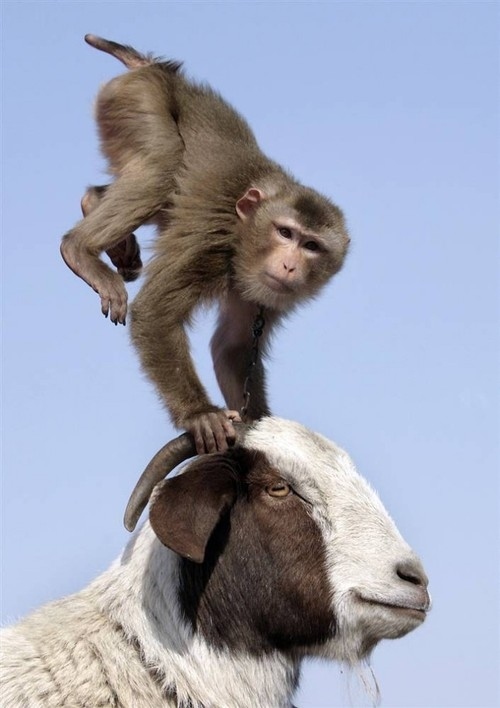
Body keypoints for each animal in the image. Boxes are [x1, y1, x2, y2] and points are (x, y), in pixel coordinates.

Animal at [60, 35, 350, 455]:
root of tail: (158, 70)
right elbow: (156, 312)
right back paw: (79, 250)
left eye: (311, 245)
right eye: (285, 233)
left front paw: (262, 428)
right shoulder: (209, 246)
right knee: (163, 164)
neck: (244, 239)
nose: (289, 265)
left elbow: (232, 348)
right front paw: (199, 414)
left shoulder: (265, 293)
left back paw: (97, 210)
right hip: (135, 98)